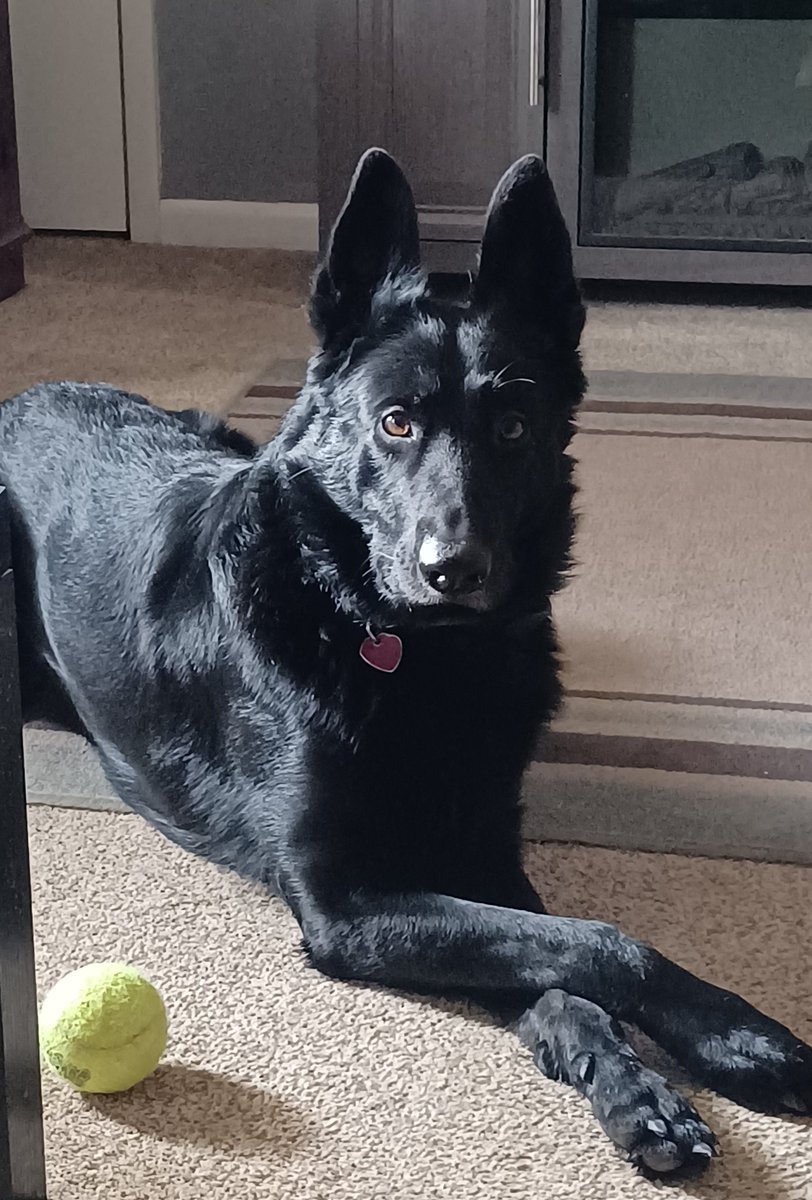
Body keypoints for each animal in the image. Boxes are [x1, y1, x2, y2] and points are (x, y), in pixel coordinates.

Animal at [0, 150, 806, 1171]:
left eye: (512, 427)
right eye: (393, 423)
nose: (452, 570)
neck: (417, 655)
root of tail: (26, 396)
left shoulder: (478, 859)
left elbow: (562, 961)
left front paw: (648, 1087)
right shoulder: (345, 902)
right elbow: (596, 941)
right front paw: (735, 1040)